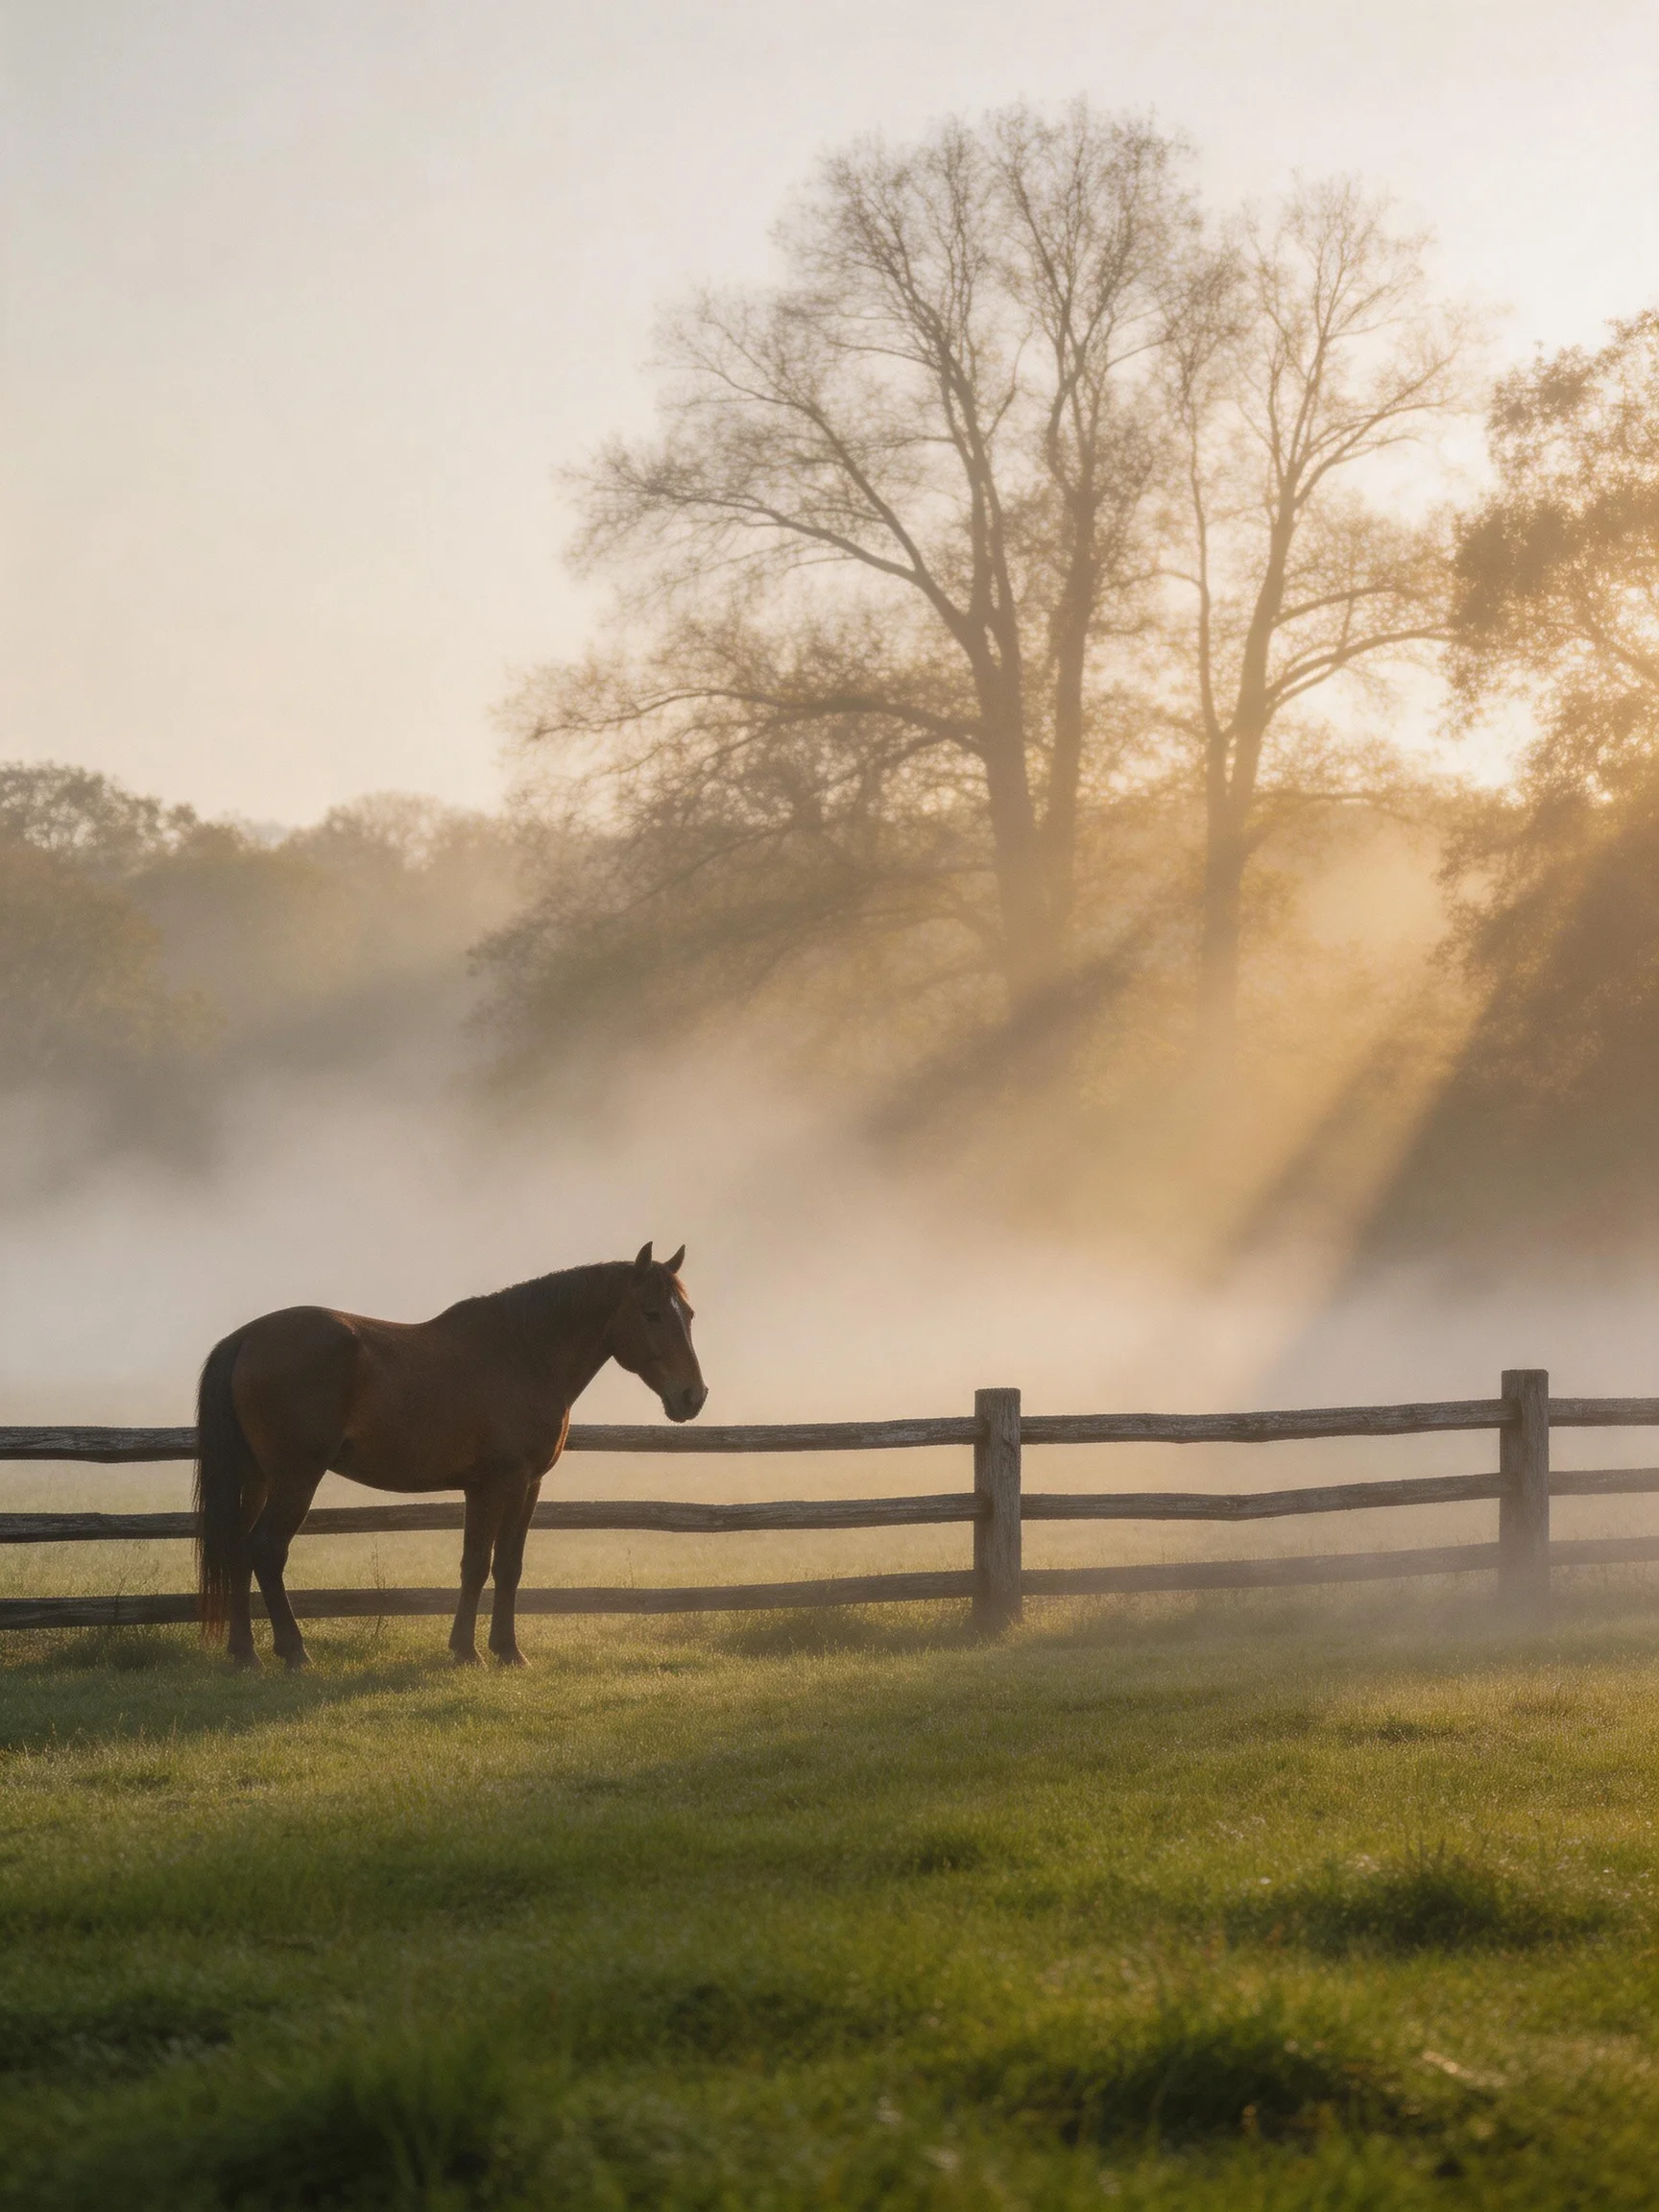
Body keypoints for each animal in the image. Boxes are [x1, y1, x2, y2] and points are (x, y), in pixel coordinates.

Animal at [194, 1242, 705, 1671]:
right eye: (652, 1313)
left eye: (689, 1314)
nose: (693, 1396)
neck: (525, 1354)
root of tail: (245, 1338)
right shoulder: (502, 1482)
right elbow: (481, 1564)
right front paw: (476, 1651)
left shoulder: (524, 1485)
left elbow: (505, 1566)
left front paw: (501, 1649)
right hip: (296, 1478)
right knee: (266, 1549)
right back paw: (294, 1651)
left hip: (257, 1479)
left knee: (238, 1548)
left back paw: (245, 1654)